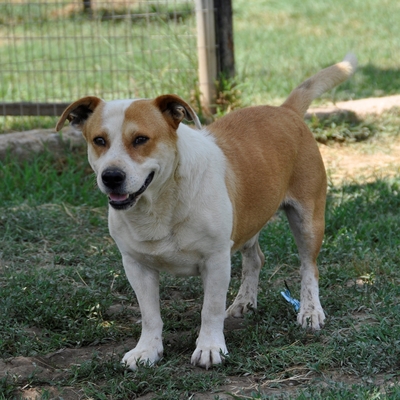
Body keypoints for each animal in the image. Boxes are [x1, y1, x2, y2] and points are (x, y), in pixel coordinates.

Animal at [55, 54, 356, 370]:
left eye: (140, 139)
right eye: (99, 140)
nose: (112, 176)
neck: (160, 203)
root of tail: (286, 110)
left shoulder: (216, 260)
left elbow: (210, 309)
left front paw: (210, 348)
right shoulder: (136, 264)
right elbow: (150, 315)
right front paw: (146, 350)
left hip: (308, 220)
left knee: (309, 268)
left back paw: (310, 311)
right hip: (249, 219)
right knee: (255, 258)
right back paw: (244, 302)